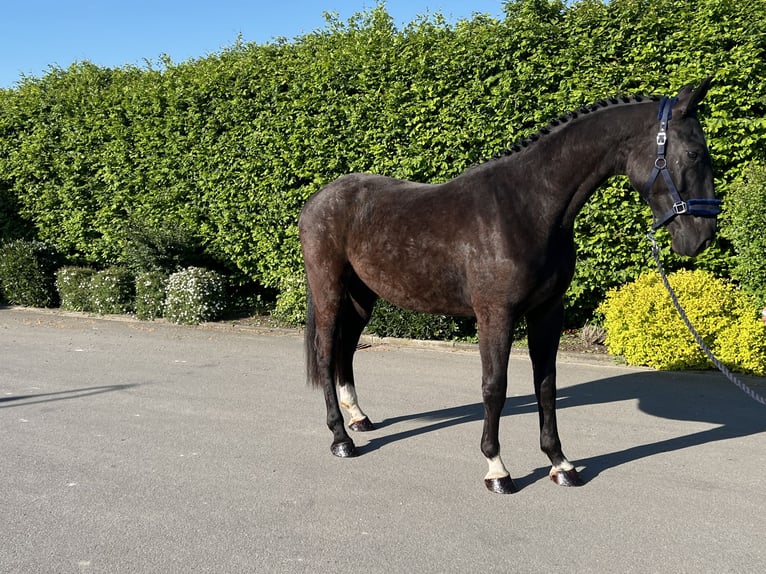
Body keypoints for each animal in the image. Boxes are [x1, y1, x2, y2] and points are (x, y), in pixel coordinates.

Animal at [302, 80, 728, 496]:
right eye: (693, 153)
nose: (703, 236)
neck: (528, 207)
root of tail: (318, 199)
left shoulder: (548, 312)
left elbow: (546, 385)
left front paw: (561, 464)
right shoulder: (496, 315)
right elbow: (495, 387)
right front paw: (497, 469)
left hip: (362, 296)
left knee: (346, 348)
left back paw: (359, 418)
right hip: (329, 288)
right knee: (326, 351)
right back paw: (341, 438)